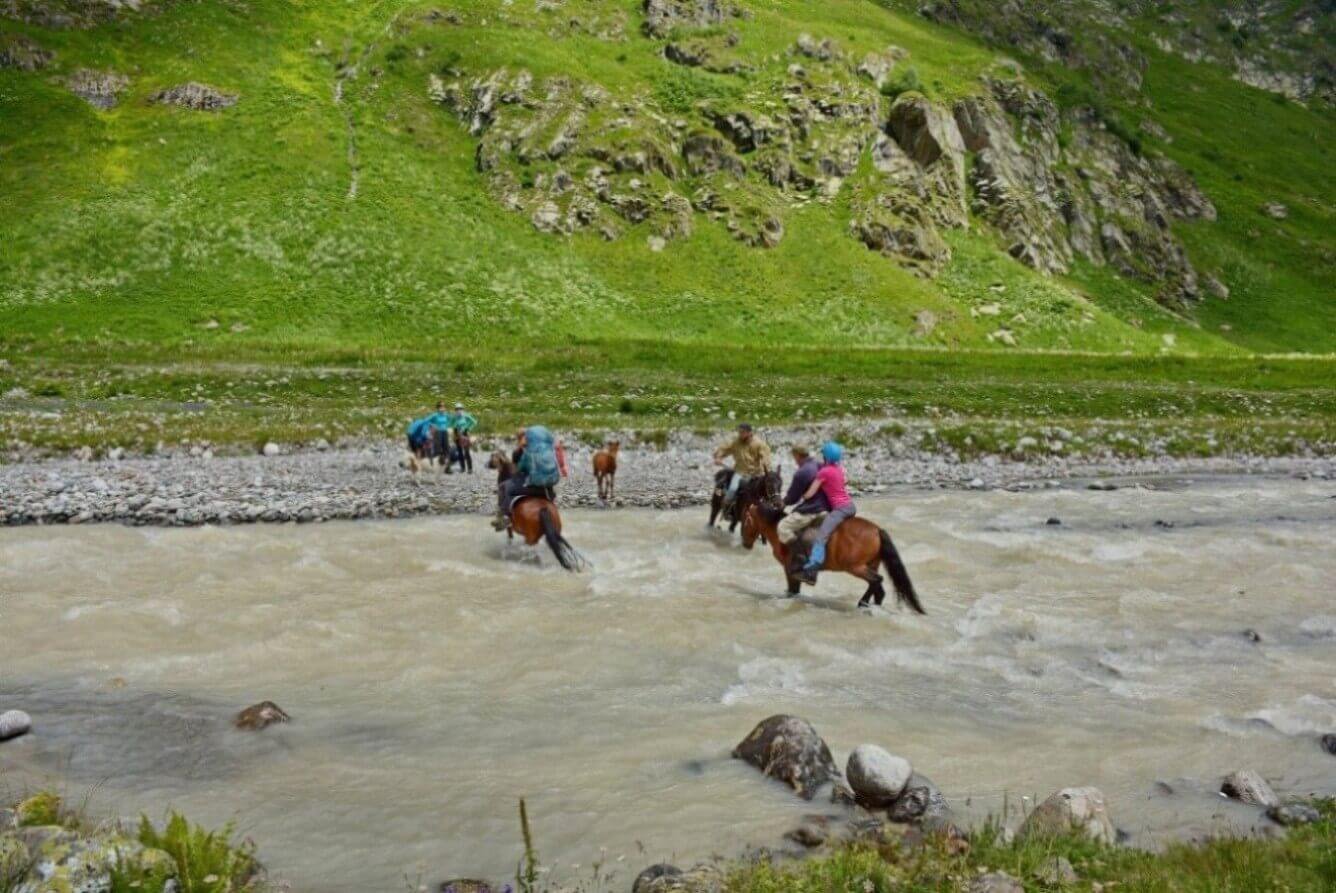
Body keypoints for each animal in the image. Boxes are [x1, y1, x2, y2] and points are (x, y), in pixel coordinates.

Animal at [737, 502, 924, 614]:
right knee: (878, 588)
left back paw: (862, 604)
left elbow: (792, 591)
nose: (745, 544)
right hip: (871, 564)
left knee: (877, 581)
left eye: (744, 521)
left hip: (856, 567)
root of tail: (877, 530)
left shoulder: (790, 570)